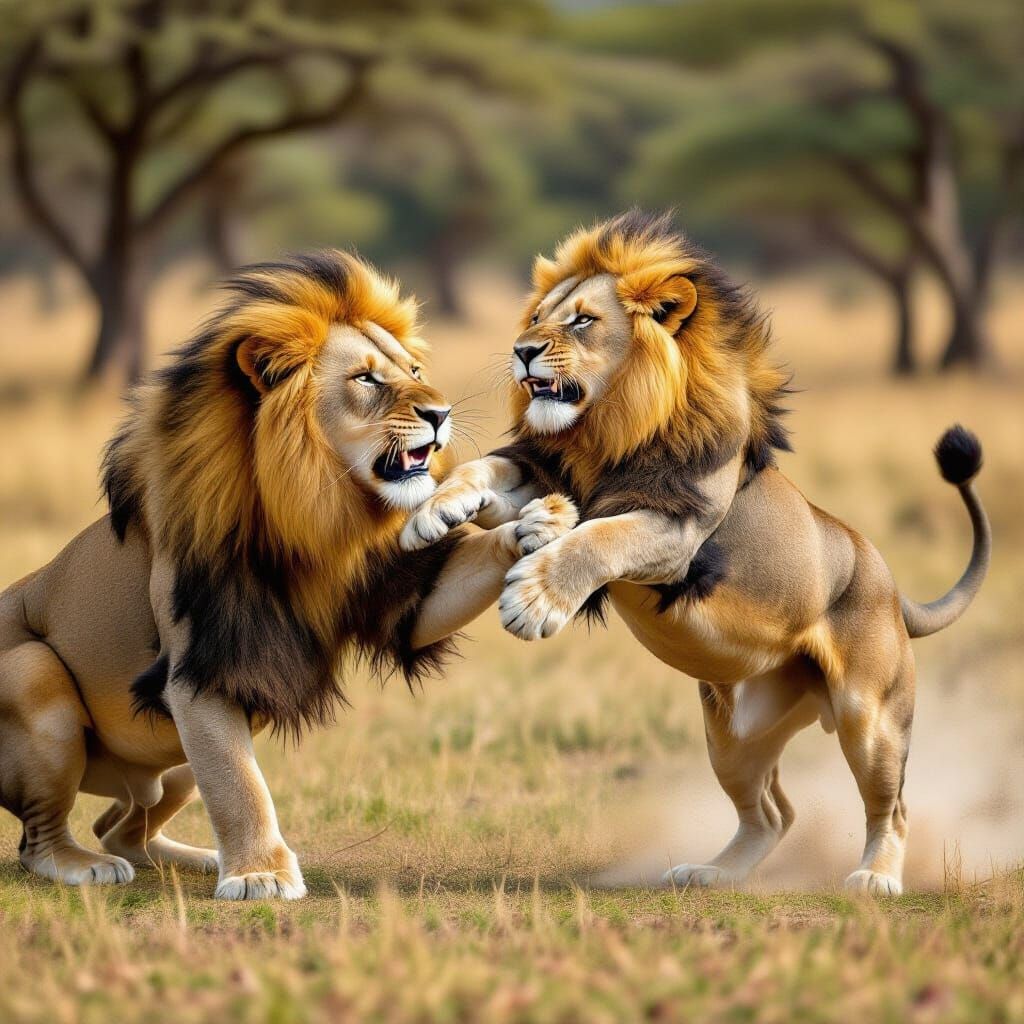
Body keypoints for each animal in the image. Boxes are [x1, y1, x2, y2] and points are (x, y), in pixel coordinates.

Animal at [0, 250, 577, 898]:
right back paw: (85, 866)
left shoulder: (391, 590)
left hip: (169, 765)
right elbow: (240, 784)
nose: (441, 412)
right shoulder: (201, 661)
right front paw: (261, 875)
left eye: (413, 369)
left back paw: (192, 857)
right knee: (40, 839)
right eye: (366, 379)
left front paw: (537, 523)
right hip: (33, 673)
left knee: (120, 825)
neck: (314, 513)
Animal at [402, 210, 991, 896]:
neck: (605, 429)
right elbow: (483, 470)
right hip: (730, 737)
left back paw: (875, 878)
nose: (521, 351)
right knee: (773, 812)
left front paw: (537, 596)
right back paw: (712, 872)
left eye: (581, 321)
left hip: (869, 718)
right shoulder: (547, 470)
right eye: (537, 318)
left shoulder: (677, 531)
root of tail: (889, 582)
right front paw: (437, 511)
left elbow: (600, 538)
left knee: (890, 805)